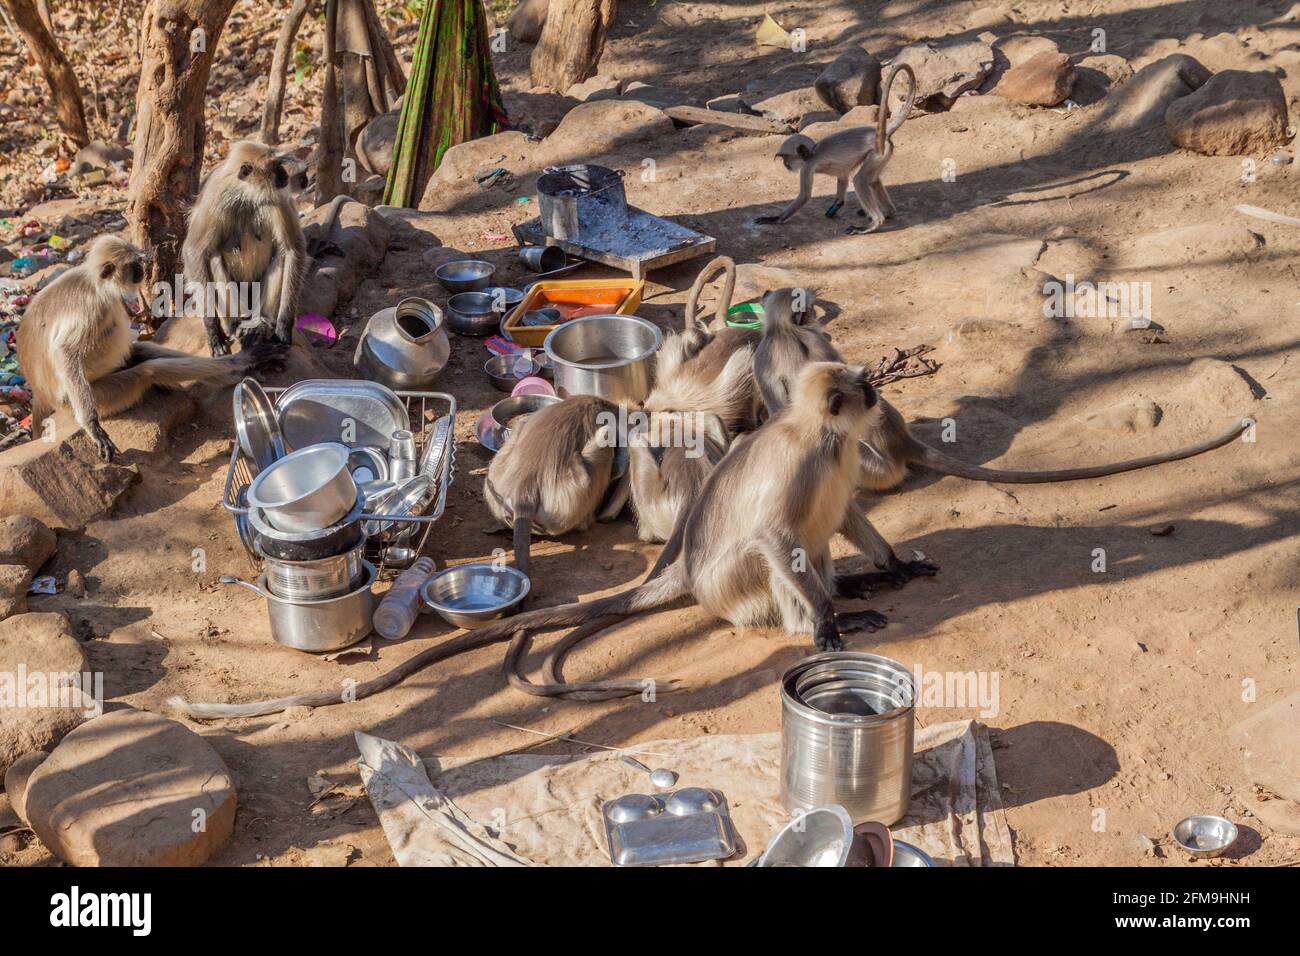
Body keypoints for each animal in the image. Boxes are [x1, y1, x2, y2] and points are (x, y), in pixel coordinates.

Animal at [15, 238, 282, 463]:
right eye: (134, 265)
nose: (143, 270)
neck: (96, 283)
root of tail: (41, 394)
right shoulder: (91, 307)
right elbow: (65, 351)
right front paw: (93, 427)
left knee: (143, 351)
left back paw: (234, 374)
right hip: (97, 396)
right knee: (149, 370)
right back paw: (240, 362)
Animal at [170, 361, 915, 723]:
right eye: (862, 390)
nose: (877, 394)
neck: (820, 434)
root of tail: (692, 576)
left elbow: (845, 512)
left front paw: (890, 563)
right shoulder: (804, 460)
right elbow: (773, 533)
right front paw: (827, 625)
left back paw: (859, 582)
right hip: (734, 580)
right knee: (778, 553)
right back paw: (823, 613)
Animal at [183, 138, 306, 356]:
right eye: (275, 167)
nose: (284, 175)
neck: (245, 194)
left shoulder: (277, 197)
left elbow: (294, 250)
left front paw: (284, 326)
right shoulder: (215, 198)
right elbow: (193, 251)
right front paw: (213, 332)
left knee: (282, 255)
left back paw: (262, 322)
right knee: (213, 256)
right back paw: (238, 326)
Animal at [759, 62, 920, 234]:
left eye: (786, 159)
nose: (785, 165)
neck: (813, 152)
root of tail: (880, 134)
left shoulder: (807, 167)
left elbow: (804, 196)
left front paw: (774, 219)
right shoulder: (838, 171)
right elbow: (843, 176)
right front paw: (836, 205)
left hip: (878, 154)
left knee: (860, 180)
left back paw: (873, 224)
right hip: (882, 155)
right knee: (873, 180)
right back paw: (888, 212)